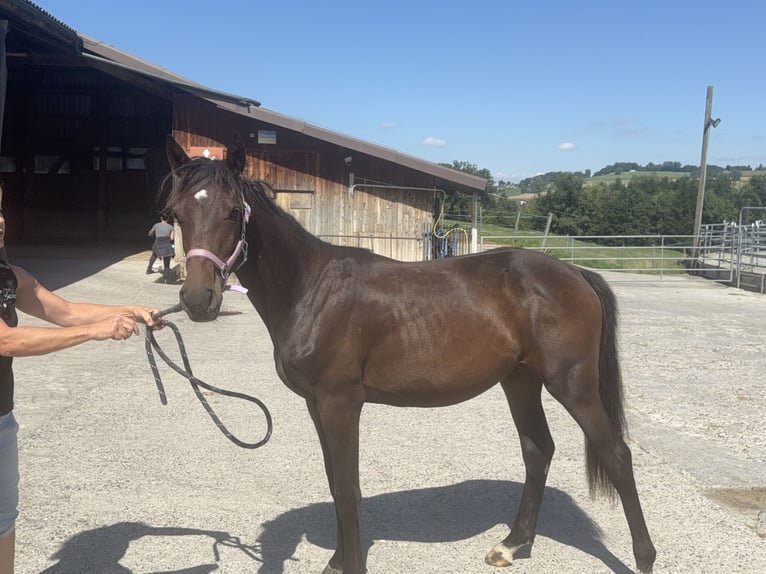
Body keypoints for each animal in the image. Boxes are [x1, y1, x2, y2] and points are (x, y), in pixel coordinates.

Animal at [162, 135, 656, 574]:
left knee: (616, 455)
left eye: (232, 211)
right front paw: (338, 560)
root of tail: (574, 271)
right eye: (176, 213)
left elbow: (348, 489)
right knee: (538, 451)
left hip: (572, 384)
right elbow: (335, 480)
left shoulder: (341, 404)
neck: (312, 290)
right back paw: (511, 545)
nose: (198, 300)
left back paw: (644, 558)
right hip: (520, 380)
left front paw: (349, 565)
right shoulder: (317, 405)